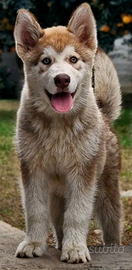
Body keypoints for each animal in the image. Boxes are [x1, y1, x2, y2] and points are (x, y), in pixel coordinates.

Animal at [13, 2, 122, 264]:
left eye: (73, 59)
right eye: (46, 61)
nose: (62, 79)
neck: (58, 126)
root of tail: (104, 114)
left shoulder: (83, 174)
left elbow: (78, 214)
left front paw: (76, 249)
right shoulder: (33, 171)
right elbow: (35, 211)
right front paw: (33, 243)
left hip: (106, 194)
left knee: (111, 225)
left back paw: (112, 247)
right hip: (57, 198)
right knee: (57, 221)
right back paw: (61, 244)